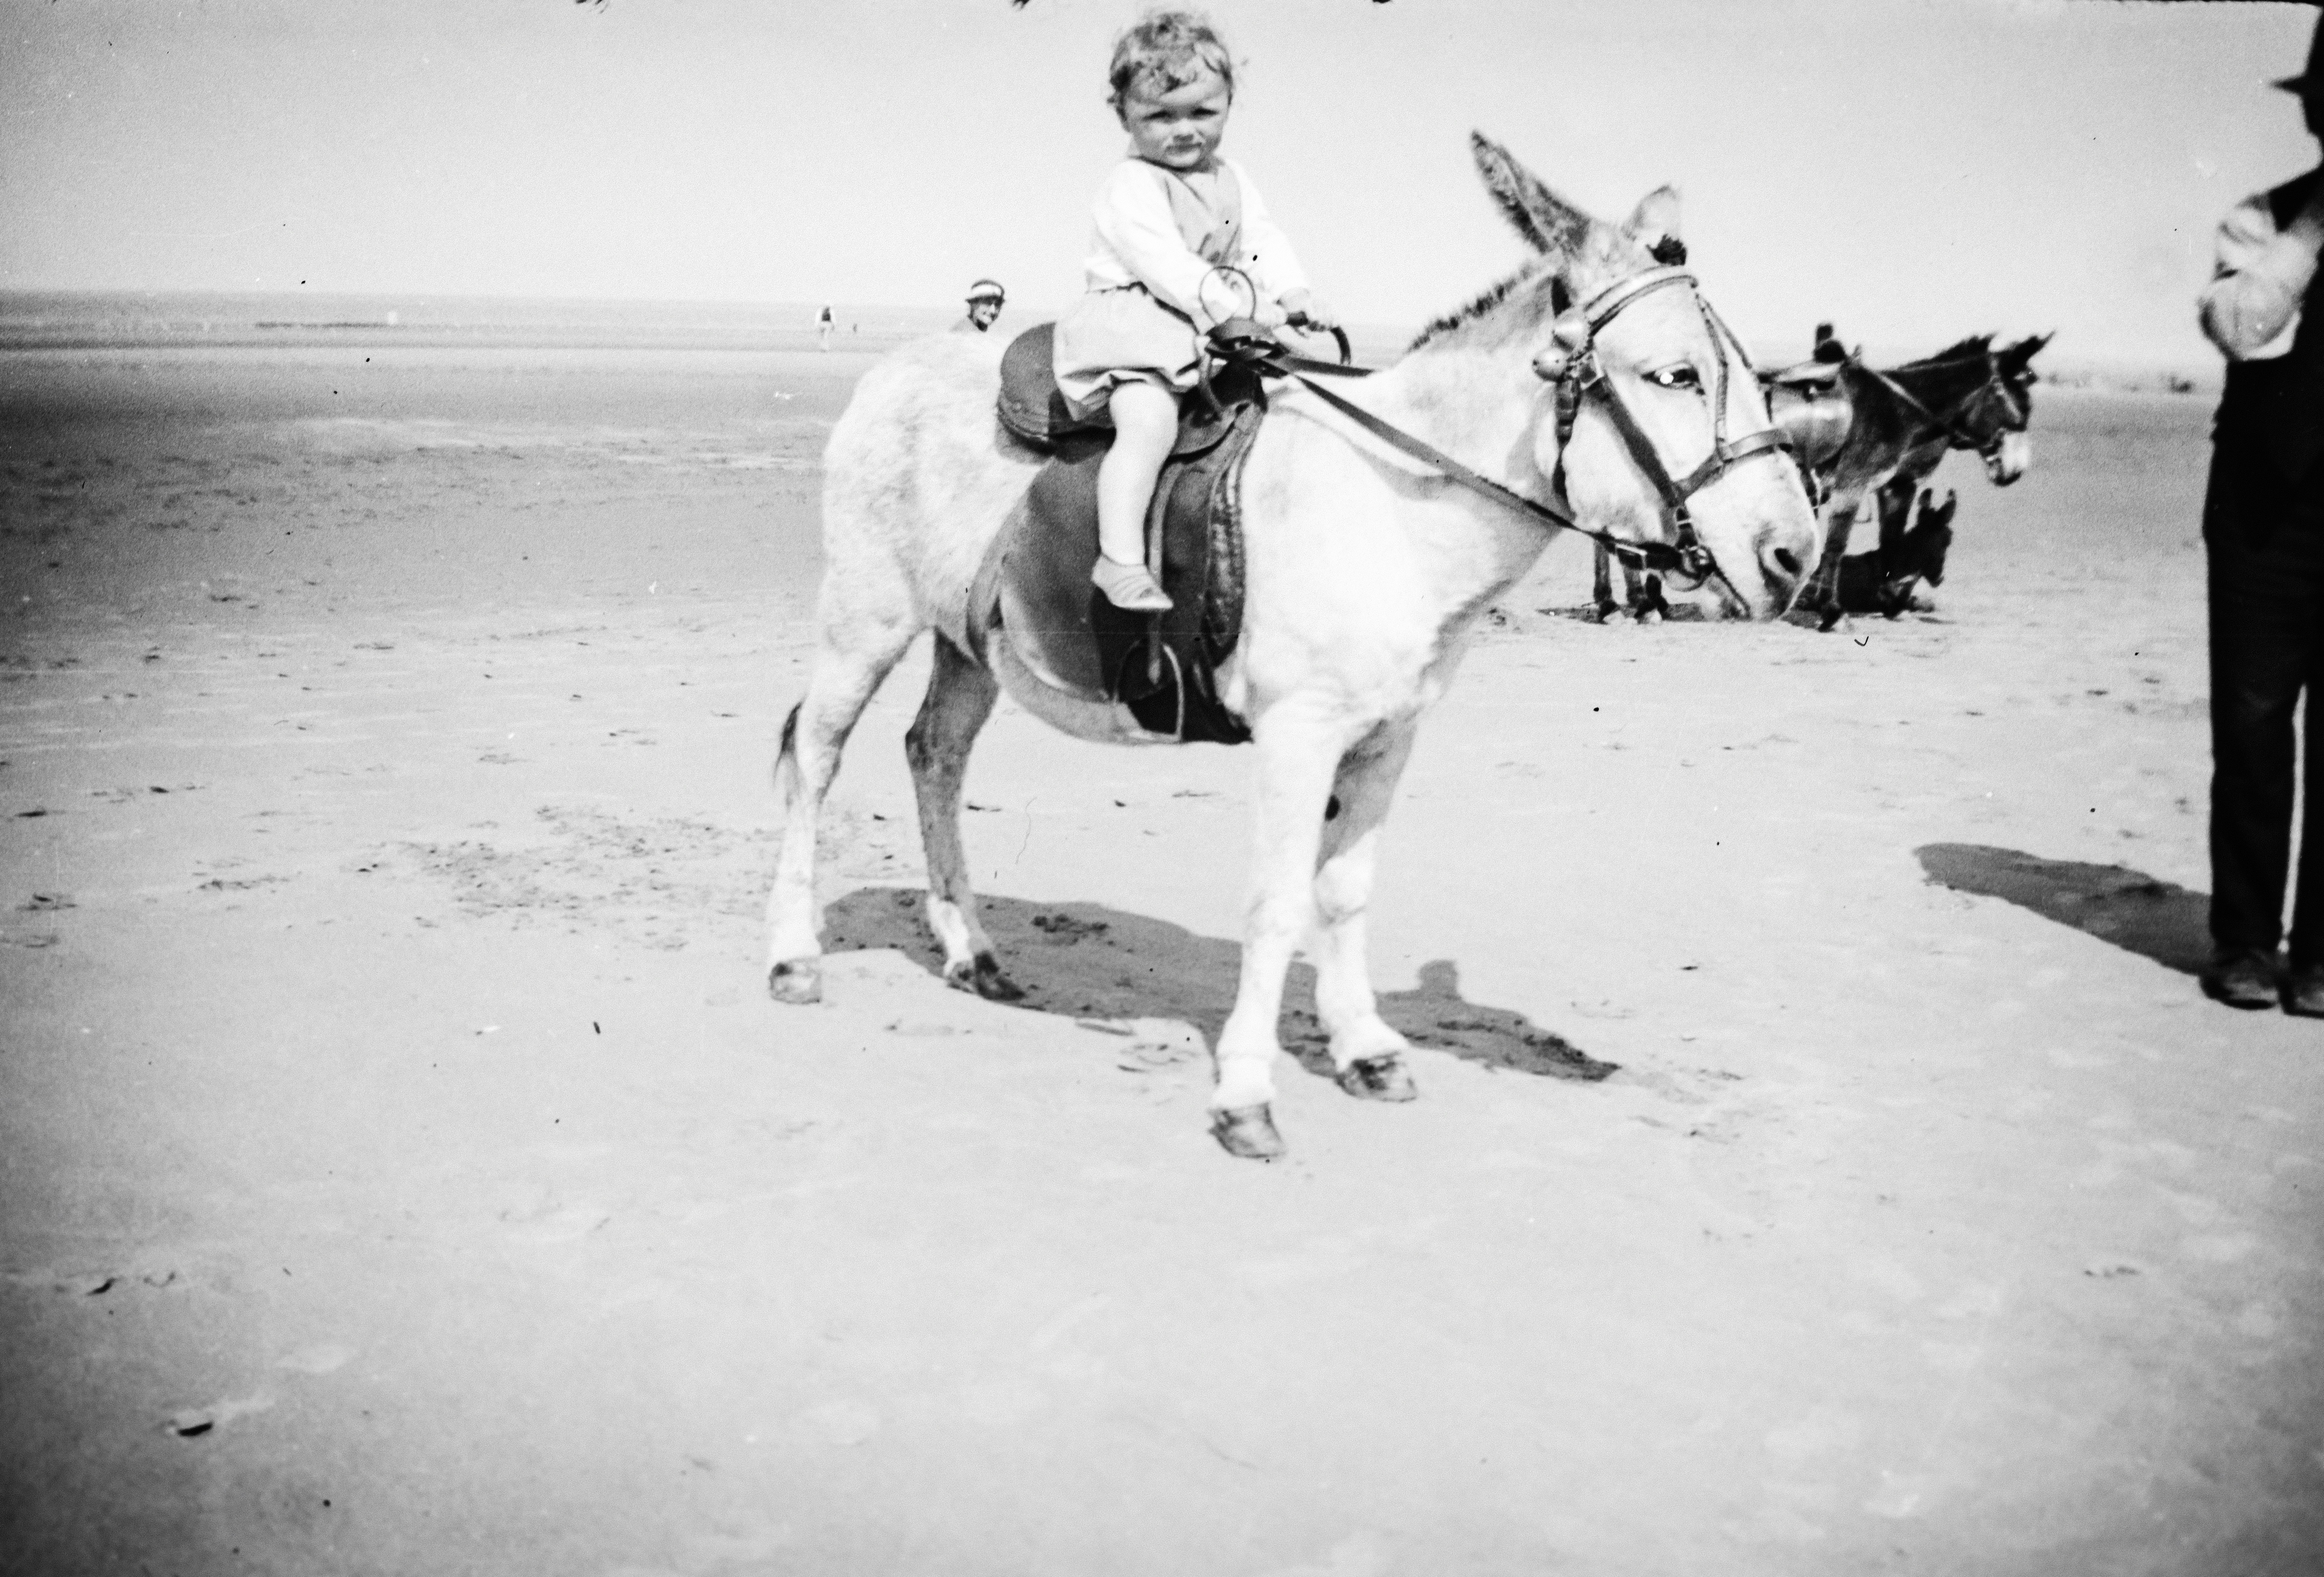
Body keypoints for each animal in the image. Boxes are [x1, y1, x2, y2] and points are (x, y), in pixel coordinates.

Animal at [763, 134, 1824, 1160]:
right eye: (1675, 375)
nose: (1797, 556)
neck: (1394, 508)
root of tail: (897, 367)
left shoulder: (1389, 739)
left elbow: (1344, 892)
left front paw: (1363, 1049)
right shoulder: (1297, 735)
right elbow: (1276, 904)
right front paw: (1245, 1094)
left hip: (969, 645)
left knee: (934, 757)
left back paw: (970, 950)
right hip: (865, 618)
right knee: (816, 755)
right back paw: (793, 955)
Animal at [1591, 329, 2047, 625]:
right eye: (2019, 398)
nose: (2015, 470)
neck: (1898, 409)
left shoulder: (1891, 485)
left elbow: (1890, 538)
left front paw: (1890, 603)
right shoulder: (1854, 487)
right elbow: (1836, 548)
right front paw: (1833, 612)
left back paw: (1622, 604)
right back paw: (1635, 605)